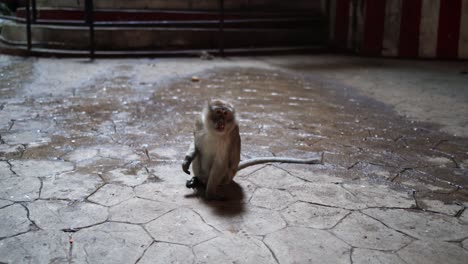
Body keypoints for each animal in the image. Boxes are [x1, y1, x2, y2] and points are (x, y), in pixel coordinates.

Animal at [182, 100, 322, 199]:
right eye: (218, 112)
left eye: (225, 114)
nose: (221, 121)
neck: (213, 131)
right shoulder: (199, 122)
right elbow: (195, 144)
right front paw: (187, 160)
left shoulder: (231, 134)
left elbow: (221, 162)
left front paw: (210, 194)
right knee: (198, 155)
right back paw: (198, 180)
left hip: (226, 176)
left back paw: (205, 183)